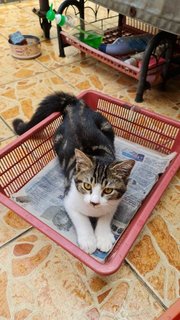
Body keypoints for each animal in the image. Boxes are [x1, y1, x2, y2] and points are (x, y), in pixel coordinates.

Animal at [13, 91, 135, 254]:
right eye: (87, 186)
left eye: (108, 190)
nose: (94, 202)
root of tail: (75, 105)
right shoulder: (69, 197)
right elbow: (81, 219)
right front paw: (88, 240)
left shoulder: (114, 201)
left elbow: (106, 214)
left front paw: (103, 237)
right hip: (58, 138)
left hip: (106, 125)